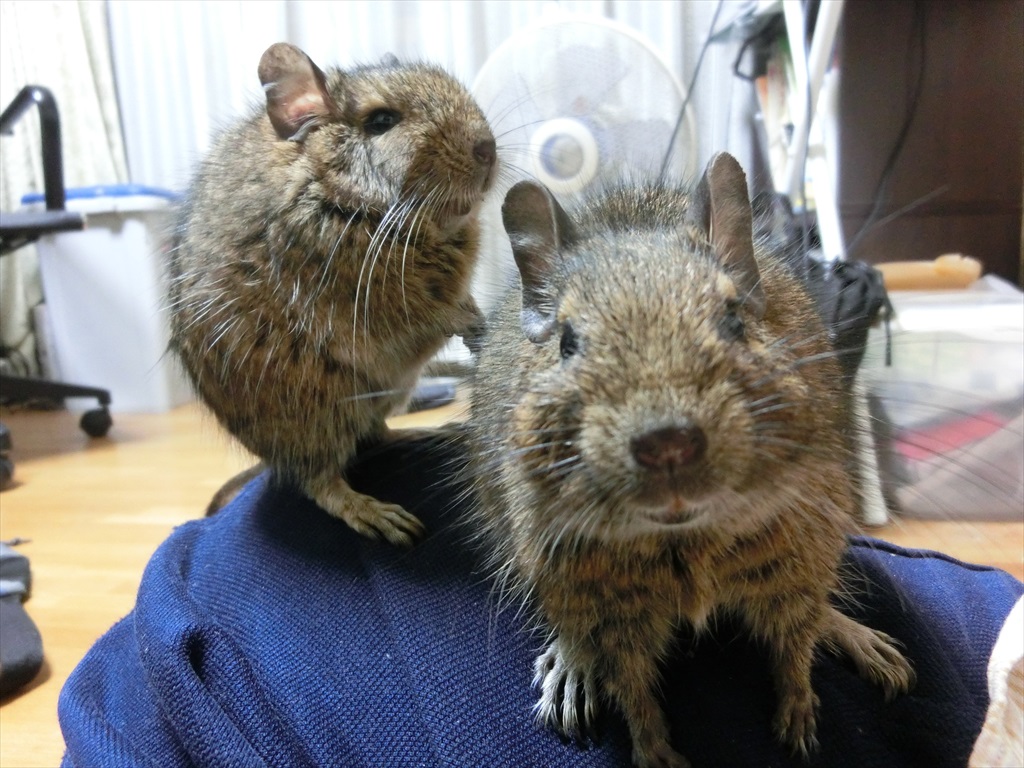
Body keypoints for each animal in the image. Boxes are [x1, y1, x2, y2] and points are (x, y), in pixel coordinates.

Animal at [168, 43, 496, 544]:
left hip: (385, 395)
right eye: (381, 121)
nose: (488, 148)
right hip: (314, 415)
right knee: (319, 480)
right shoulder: (365, 292)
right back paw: (377, 514)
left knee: (376, 436)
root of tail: (271, 460)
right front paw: (470, 323)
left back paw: (432, 434)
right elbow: (431, 312)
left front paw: (478, 320)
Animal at [468, 153, 914, 768]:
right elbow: (632, 686)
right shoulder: (609, 605)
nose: (667, 444)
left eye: (734, 319)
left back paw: (861, 639)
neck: (686, 537)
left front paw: (799, 722)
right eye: (566, 343)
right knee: (573, 631)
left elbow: (794, 646)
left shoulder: (796, 561)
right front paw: (655, 753)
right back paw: (570, 667)